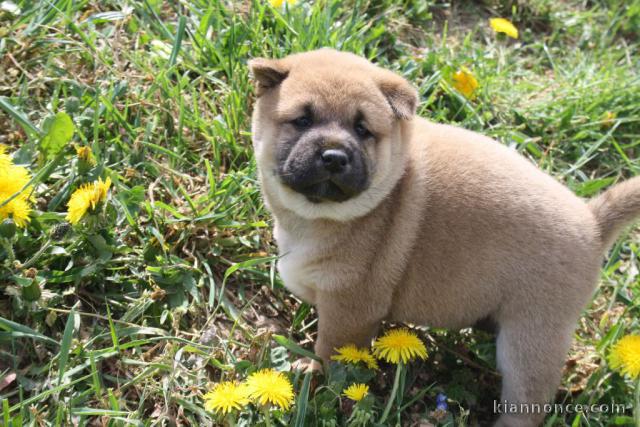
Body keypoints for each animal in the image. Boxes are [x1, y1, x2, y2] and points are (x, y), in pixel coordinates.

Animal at [249, 48, 640, 426]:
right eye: (302, 120)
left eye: (362, 129)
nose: (333, 156)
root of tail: (592, 223)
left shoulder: (349, 308)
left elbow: (332, 353)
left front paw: (312, 374)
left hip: (531, 338)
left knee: (528, 404)